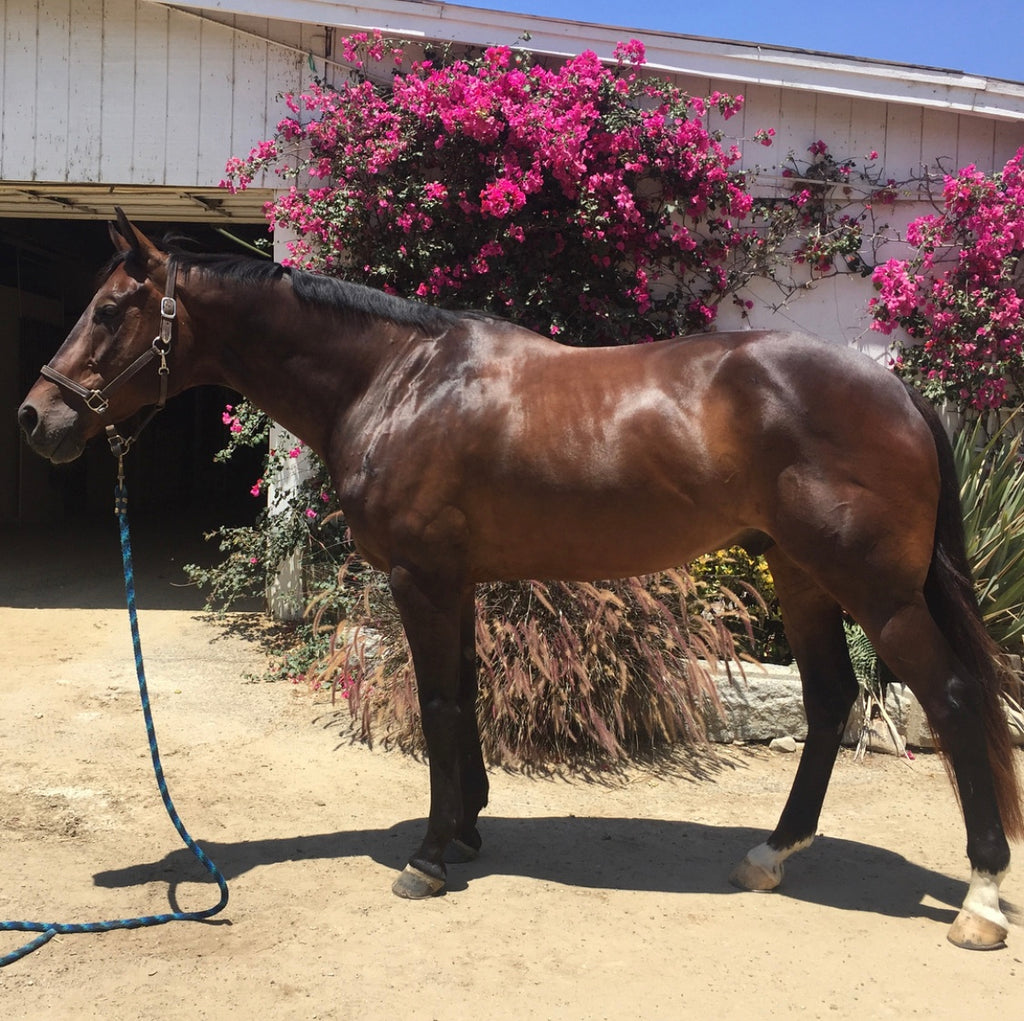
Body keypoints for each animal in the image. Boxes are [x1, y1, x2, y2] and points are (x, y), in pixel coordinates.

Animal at [17, 211, 1023, 950]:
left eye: (110, 309)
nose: (36, 418)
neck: (398, 378)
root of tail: (897, 389)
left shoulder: (421, 578)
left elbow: (438, 706)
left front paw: (427, 857)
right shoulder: (455, 581)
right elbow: (462, 696)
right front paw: (465, 829)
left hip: (875, 590)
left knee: (953, 697)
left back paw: (980, 898)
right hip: (802, 572)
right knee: (830, 698)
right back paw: (770, 855)